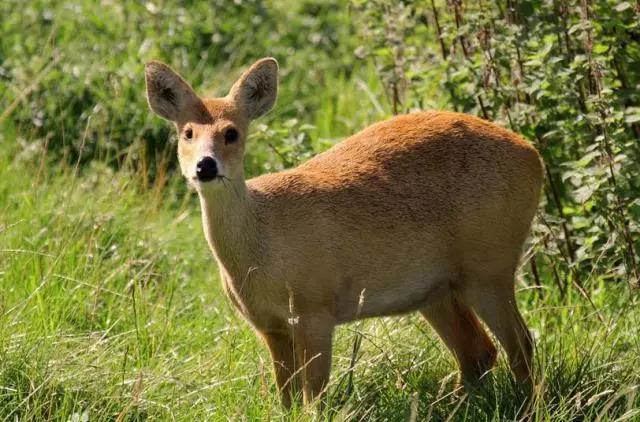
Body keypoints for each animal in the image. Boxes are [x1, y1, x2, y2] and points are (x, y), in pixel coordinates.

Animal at [146, 57, 544, 408]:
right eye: (187, 132)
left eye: (231, 133)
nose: (205, 166)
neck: (260, 251)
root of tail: (534, 156)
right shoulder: (270, 325)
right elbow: (286, 399)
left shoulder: (315, 309)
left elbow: (314, 398)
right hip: (436, 290)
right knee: (478, 351)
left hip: (489, 265)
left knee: (521, 345)